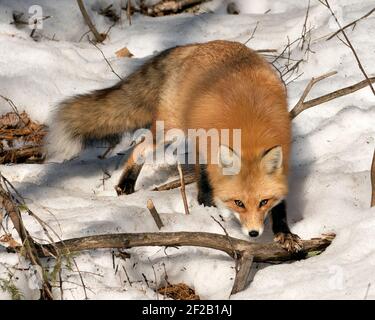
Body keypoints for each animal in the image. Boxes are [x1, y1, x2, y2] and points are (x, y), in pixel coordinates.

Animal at [45, 40, 304, 252]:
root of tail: (196, 45)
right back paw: (125, 184)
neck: (249, 129)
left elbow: (281, 203)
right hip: (170, 130)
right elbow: (206, 182)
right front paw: (210, 208)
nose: (253, 233)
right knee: (140, 147)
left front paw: (284, 232)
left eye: (263, 202)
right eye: (238, 203)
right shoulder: (207, 150)